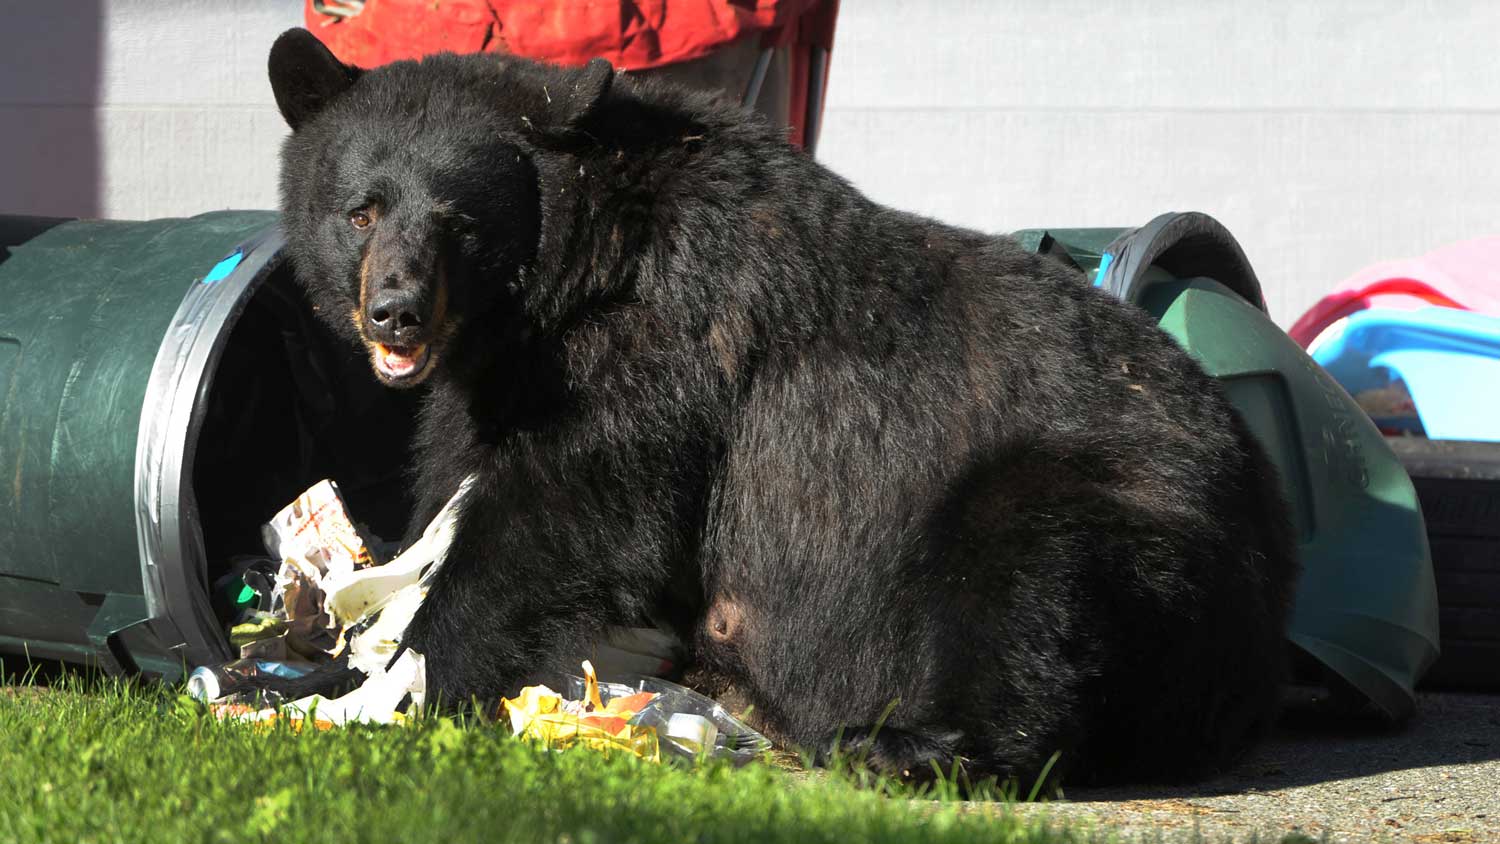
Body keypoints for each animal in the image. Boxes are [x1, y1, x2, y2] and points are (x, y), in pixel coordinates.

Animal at [267, 28, 1299, 785]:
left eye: (461, 221)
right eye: (360, 210)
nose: (395, 309)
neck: (571, 277)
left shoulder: (665, 351)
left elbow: (558, 515)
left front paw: (405, 681)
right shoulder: (495, 380)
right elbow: (451, 480)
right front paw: (342, 656)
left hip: (1119, 508)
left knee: (1032, 594)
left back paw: (907, 746)